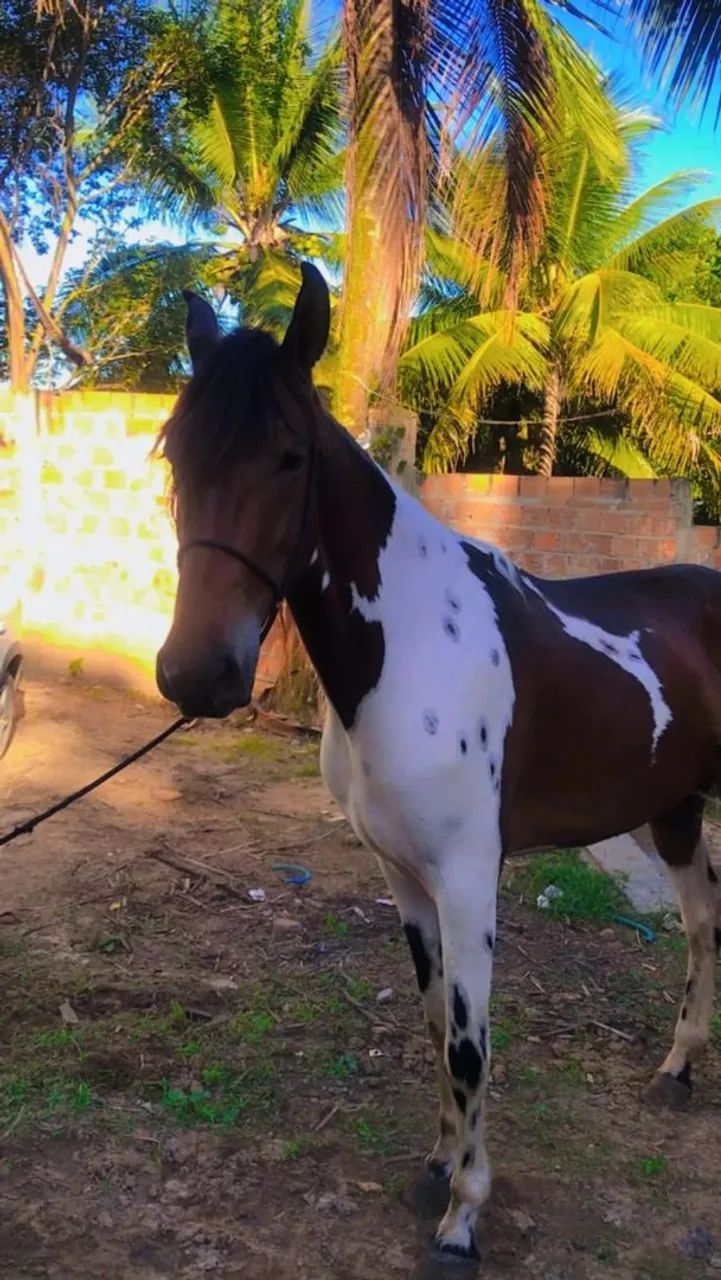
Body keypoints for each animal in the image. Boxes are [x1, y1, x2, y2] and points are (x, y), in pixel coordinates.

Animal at [155, 262, 721, 1263]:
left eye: (289, 458)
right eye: (176, 456)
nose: (196, 675)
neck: (410, 645)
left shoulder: (465, 875)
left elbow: (468, 1041)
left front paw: (464, 1217)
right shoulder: (404, 876)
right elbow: (432, 1026)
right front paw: (437, 1170)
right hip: (676, 810)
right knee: (699, 923)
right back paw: (676, 1069)